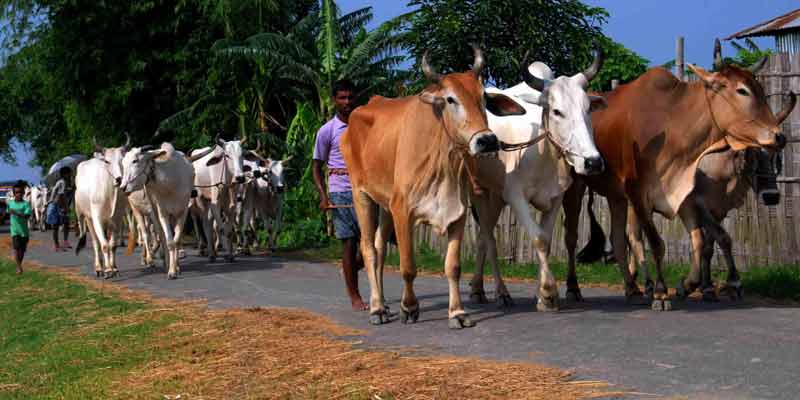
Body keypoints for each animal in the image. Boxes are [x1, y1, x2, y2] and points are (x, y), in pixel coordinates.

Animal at [75, 136, 130, 278]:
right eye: (107, 161)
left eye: (122, 160)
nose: (119, 179)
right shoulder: (97, 218)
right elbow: (104, 245)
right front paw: (108, 270)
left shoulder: (117, 219)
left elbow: (112, 245)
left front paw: (113, 268)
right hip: (88, 219)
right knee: (96, 243)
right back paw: (99, 268)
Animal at [120, 142, 214, 279]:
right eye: (123, 163)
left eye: (135, 161)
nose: (123, 187)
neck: (170, 183)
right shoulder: (162, 213)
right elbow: (168, 241)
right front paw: (171, 270)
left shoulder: (182, 212)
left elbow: (176, 239)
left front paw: (176, 267)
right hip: (141, 210)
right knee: (150, 234)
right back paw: (155, 260)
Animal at [340, 46, 527, 329]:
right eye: (450, 100)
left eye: (483, 98)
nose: (487, 140)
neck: (443, 162)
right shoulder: (402, 210)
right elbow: (408, 266)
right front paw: (409, 307)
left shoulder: (458, 213)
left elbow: (453, 266)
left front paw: (457, 312)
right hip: (360, 194)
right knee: (368, 249)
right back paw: (376, 308)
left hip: (385, 205)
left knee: (380, 247)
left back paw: (382, 302)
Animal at [468, 45, 607, 311]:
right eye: (557, 111)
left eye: (587, 109)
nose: (593, 162)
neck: (544, 154)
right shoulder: (516, 197)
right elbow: (539, 239)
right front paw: (549, 293)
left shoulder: (555, 198)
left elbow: (548, 240)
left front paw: (541, 294)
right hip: (479, 190)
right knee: (488, 237)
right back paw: (497, 292)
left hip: (496, 196)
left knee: (482, 237)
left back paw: (479, 289)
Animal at [562, 44, 791, 311]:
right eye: (741, 90)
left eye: (760, 89)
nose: (778, 136)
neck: (670, 126)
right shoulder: (641, 195)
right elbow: (658, 243)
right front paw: (663, 293)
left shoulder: (684, 197)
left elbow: (701, 241)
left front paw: (691, 285)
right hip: (577, 187)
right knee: (572, 237)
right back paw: (575, 288)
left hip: (616, 195)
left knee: (619, 238)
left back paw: (632, 289)